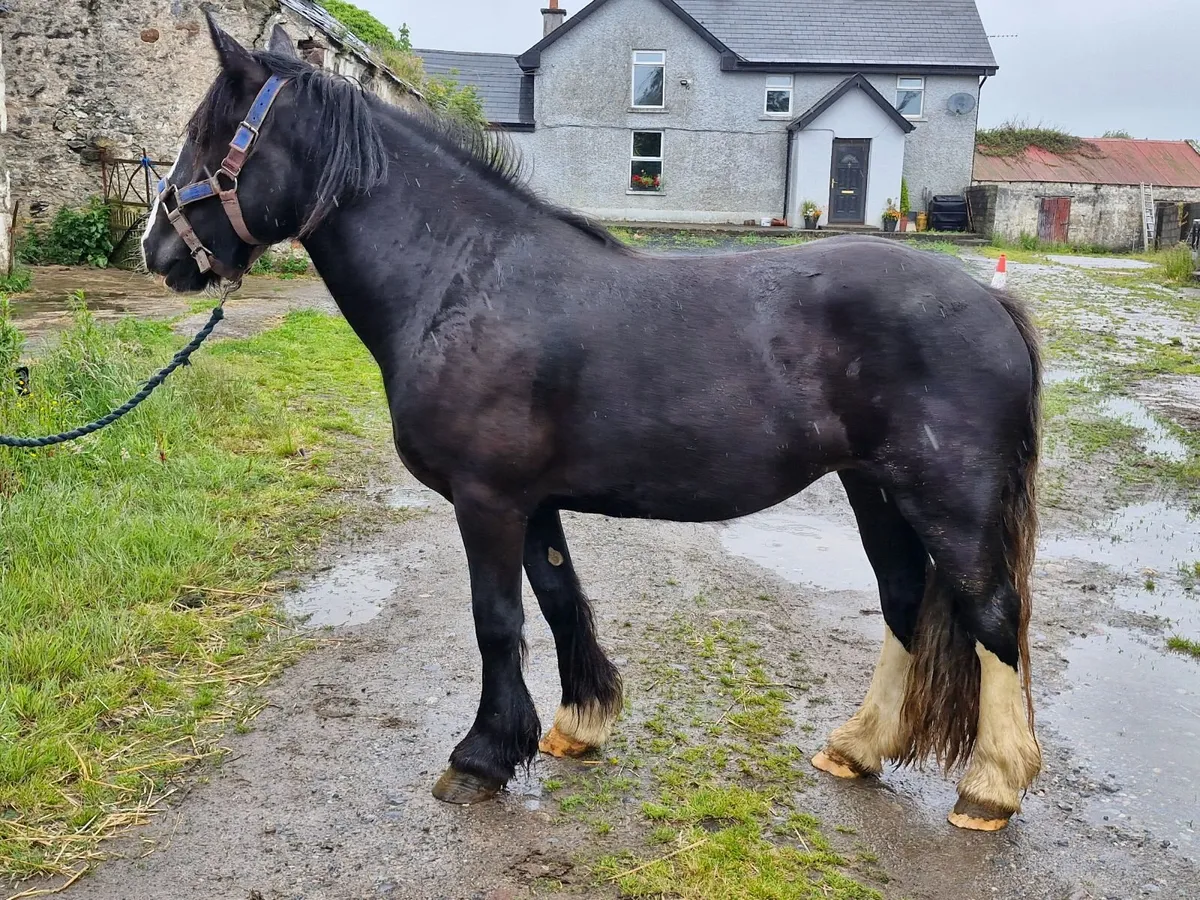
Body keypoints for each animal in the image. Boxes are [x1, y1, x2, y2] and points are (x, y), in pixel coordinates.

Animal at [141, 15, 1043, 832]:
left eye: (205, 134)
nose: (159, 249)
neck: (463, 277)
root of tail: (988, 301)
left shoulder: (487, 501)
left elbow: (497, 620)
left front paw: (480, 758)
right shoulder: (532, 503)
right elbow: (557, 597)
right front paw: (576, 724)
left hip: (947, 500)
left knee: (991, 614)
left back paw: (991, 788)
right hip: (874, 490)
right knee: (903, 602)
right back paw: (858, 748)